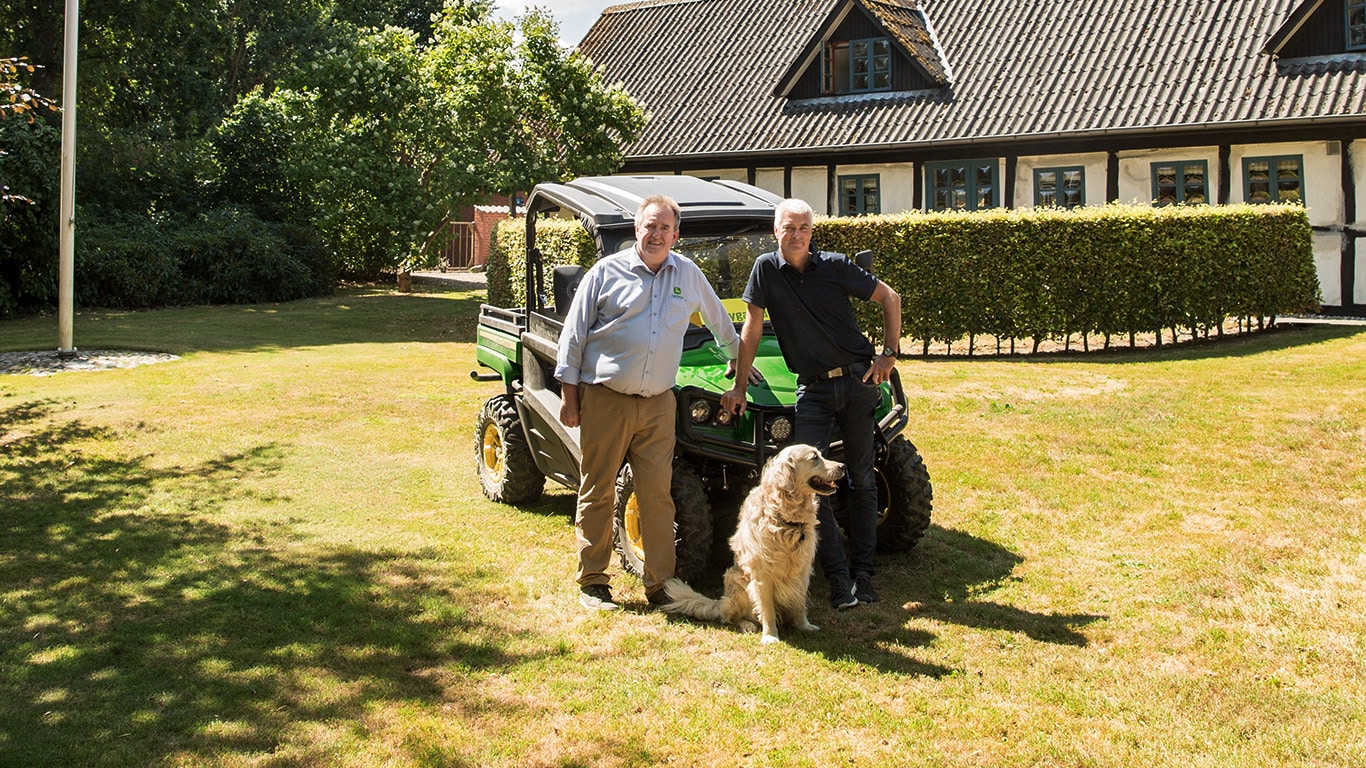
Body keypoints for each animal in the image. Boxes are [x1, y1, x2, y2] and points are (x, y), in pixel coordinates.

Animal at [661, 440, 841, 642]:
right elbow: (767, 609)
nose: (843, 466)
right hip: (738, 584)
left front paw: (804, 625)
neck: (785, 517)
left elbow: (800, 602)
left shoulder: (802, 569)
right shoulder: (762, 574)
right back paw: (747, 624)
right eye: (814, 457)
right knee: (731, 617)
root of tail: (721, 602)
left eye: (821, 454)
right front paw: (770, 637)